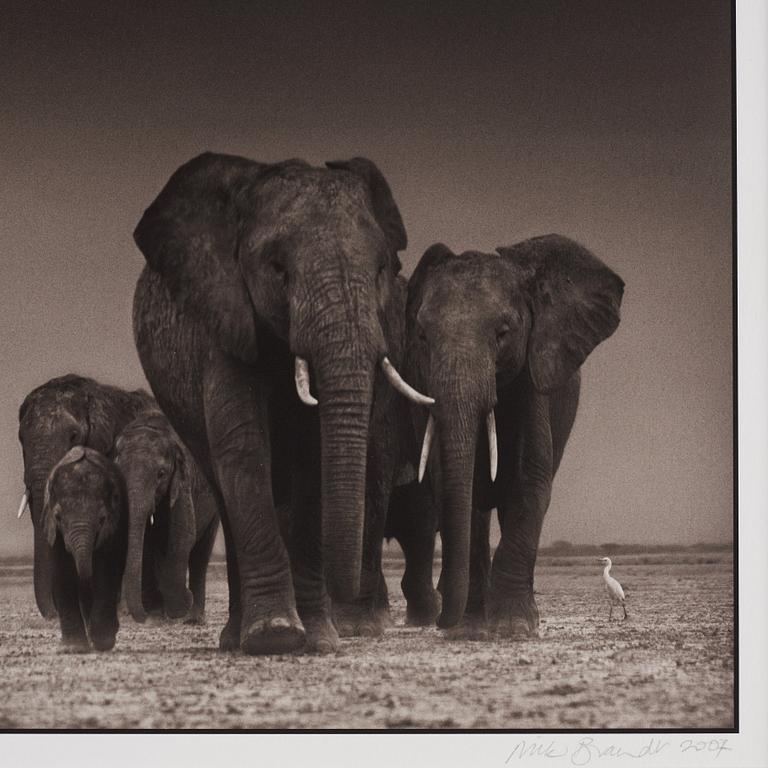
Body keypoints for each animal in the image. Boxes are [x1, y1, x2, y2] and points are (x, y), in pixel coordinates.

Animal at [41, 446, 128, 652]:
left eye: (102, 519)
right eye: (58, 517)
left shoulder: (113, 525)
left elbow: (104, 571)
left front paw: (103, 643)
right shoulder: (54, 532)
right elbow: (63, 573)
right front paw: (75, 648)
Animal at [114, 408, 219, 624]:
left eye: (161, 474)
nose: (144, 617)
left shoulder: (183, 481)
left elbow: (181, 535)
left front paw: (178, 609)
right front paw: (156, 614)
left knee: (201, 554)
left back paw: (194, 618)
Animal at [131, 152, 432, 655]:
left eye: (381, 271)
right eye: (278, 269)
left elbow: (314, 459)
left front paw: (321, 640)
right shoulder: (223, 320)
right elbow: (245, 450)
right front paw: (275, 636)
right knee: (225, 486)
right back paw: (237, 638)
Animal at [402, 234, 624, 637]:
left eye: (503, 333)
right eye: (422, 336)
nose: (441, 622)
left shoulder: (533, 377)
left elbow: (528, 479)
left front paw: (514, 627)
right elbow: (458, 489)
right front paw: (470, 629)